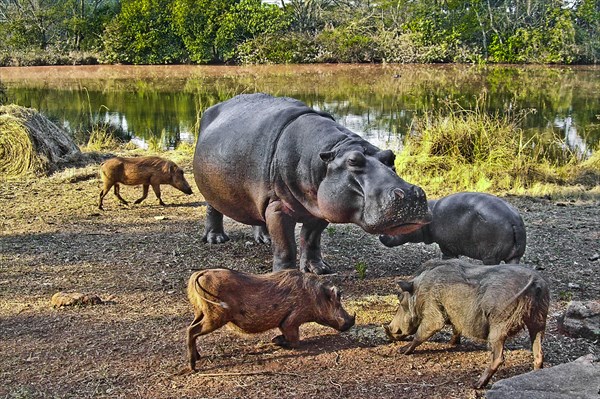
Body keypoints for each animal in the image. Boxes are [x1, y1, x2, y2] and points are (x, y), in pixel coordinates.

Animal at [195, 94, 434, 276]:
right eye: (353, 161)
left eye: (391, 156)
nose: (411, 194)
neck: (331, 151)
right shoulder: (278, 207)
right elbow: (286, 247)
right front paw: (286, 275)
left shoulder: (319, 210)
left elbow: (311, 240)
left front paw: (319, 270)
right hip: (212, 191)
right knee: (213, 209)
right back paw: (216, 239)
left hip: (258, 197)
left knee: (257, 214)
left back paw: (264, 239)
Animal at [380, 193, 524, 266]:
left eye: (400, 221)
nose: (381, 235)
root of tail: (513, 221)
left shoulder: (446, 245)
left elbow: (447, 256)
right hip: (515, 256)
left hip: (490, 254)